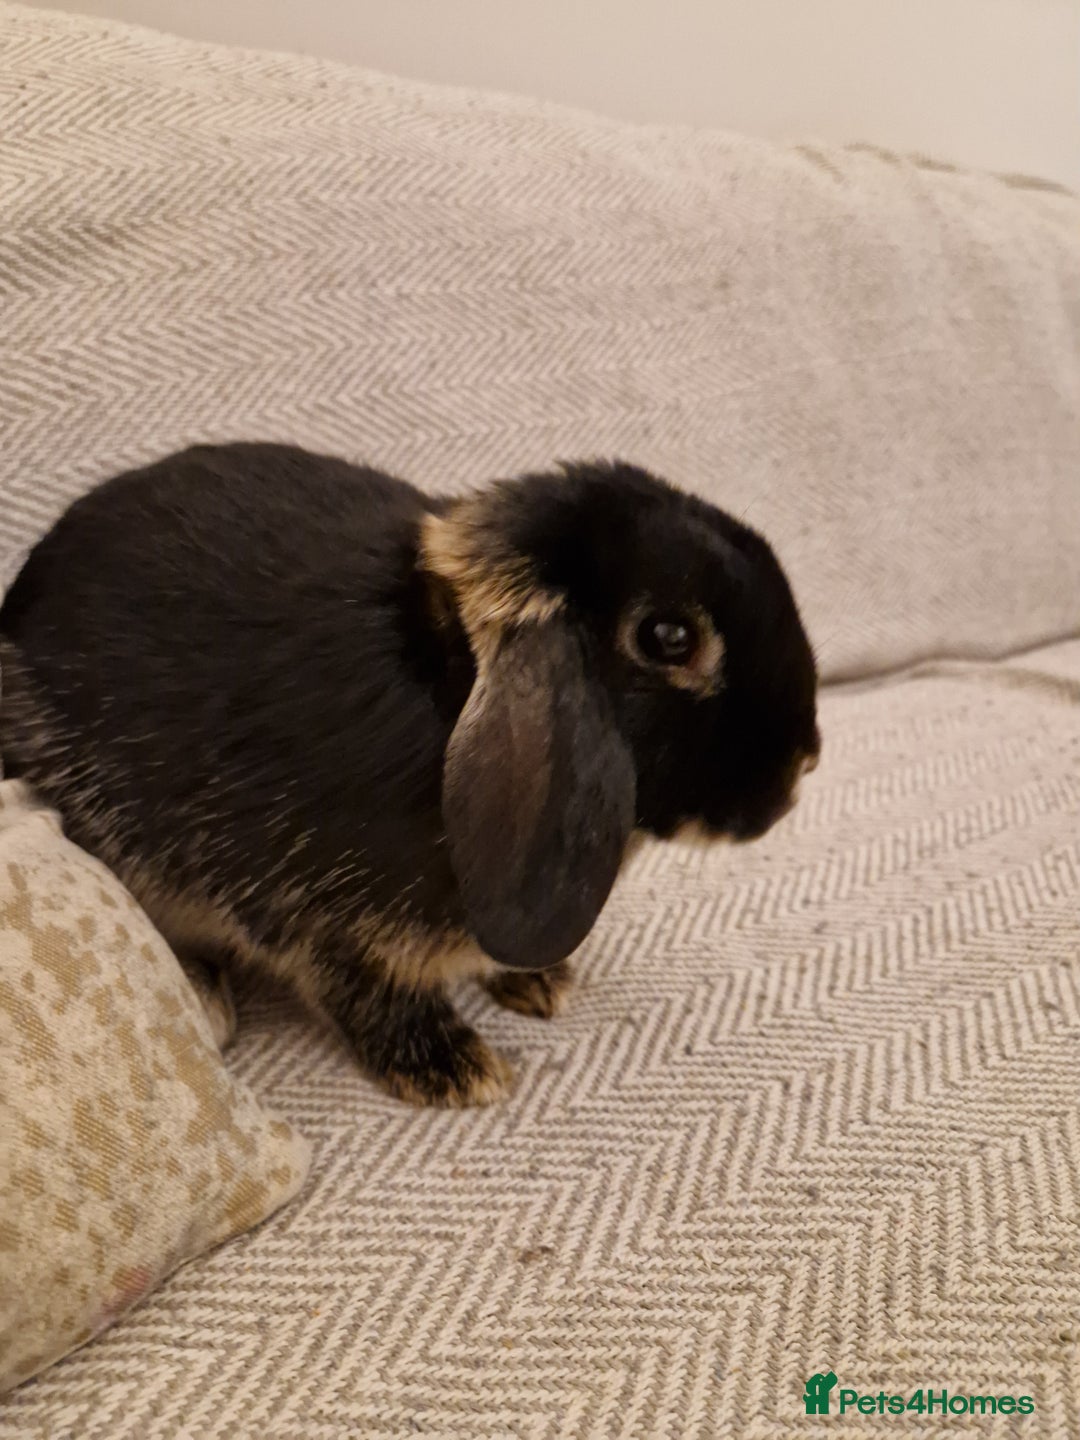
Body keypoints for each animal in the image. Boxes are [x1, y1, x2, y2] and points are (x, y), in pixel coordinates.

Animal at [0, 443, 820, 1106]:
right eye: (668, 637)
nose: (804, 764)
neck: (451, 679)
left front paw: (538, 982)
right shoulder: (324, 922)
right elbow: (370, 991)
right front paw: (458, 1069)